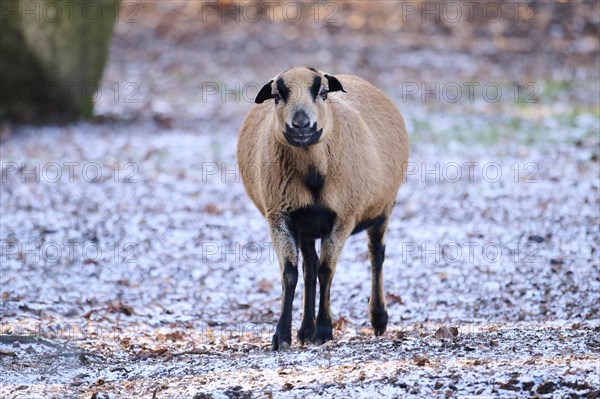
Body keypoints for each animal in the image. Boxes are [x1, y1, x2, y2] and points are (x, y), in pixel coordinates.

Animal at [237, 65, 410, 350]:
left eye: (323, 92)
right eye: (277, 96)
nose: (301, 125)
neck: (313, 177)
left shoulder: (344, 216)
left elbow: (327, 270)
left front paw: (325, 330)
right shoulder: (279, 214)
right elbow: (290, 272)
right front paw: (282, 336)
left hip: (384, 206)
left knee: (376, 254)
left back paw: (378, 318)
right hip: (306, 226)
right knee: (309, 266)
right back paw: (305, 329)